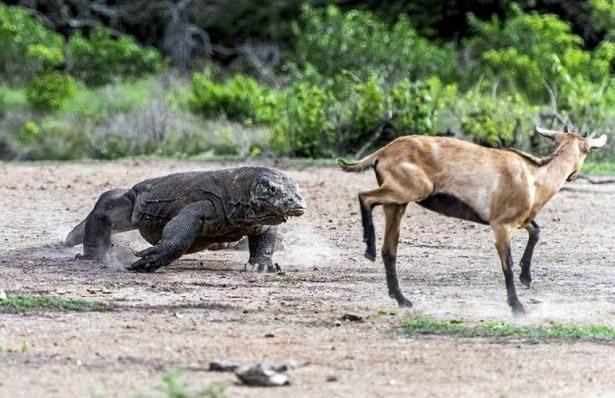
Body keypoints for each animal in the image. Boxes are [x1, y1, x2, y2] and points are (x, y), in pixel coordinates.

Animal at [340, 126, 608, 316]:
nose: (573, 176)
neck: (535, 177)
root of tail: (382, 152)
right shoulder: (501, 225)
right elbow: (507, 264)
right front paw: (517, 307)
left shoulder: (521, 220)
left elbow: (536, 231)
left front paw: (527, 278)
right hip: (410, 190)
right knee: (364, 197)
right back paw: (369, 250)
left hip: (398, 204)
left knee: (390, 249)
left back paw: (402, 298)